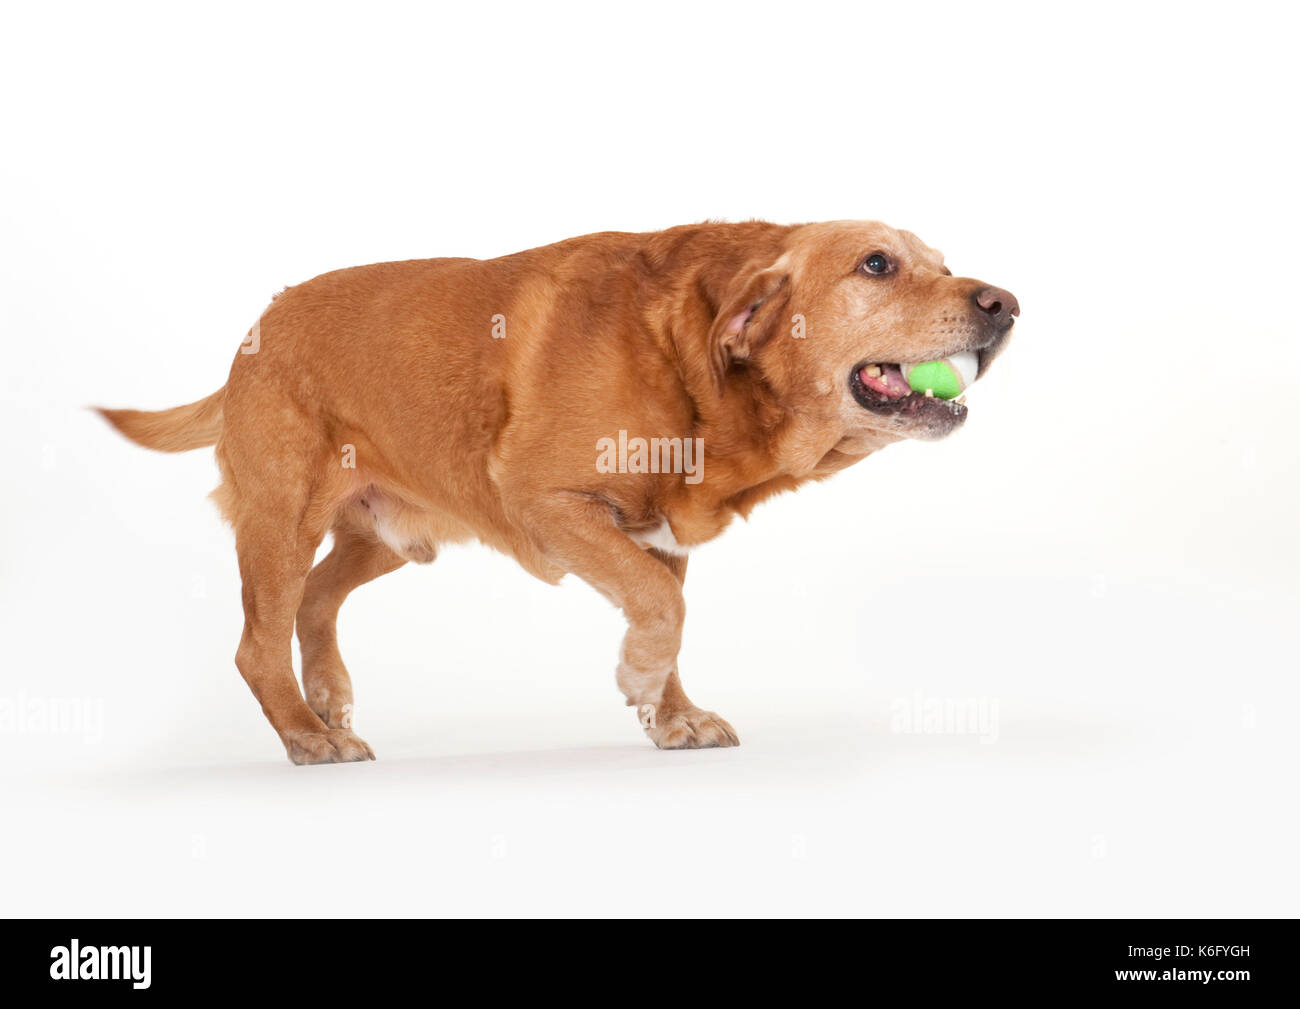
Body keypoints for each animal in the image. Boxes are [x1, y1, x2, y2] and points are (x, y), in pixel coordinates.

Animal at [98, 221, 1013, 764]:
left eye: (943, 262)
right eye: (877, 265)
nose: (1005, 303)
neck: (689, 366)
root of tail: (255, 330)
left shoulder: (657, 540)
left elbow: (665, 611)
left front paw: (671, 714)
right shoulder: (547, 504)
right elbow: (661, 610)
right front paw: (641, 681)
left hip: (388, 536)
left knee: (317, 600)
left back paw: (326, 699)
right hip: (284, 521)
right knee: (258, 642)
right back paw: (303, 732)